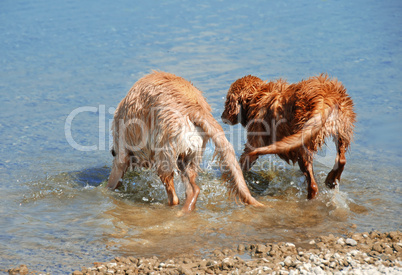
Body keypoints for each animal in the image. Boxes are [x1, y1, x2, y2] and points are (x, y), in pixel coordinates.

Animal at [108, 71, 262, 213]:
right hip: (189, 157)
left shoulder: (121, 153)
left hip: (165, 154)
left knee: (174, 196)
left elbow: (114, 177)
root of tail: (196, 109)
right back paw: (185, 210)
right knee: (194, 190)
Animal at [221, 74, 356, 199]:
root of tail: (324, 98)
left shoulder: (254, 140)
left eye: (227, 101)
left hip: (303, 145)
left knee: (313, 185)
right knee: (341, 160)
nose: (222, 116)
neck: (256, 96)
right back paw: (331, 180)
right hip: (342, 129)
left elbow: (244, 161)